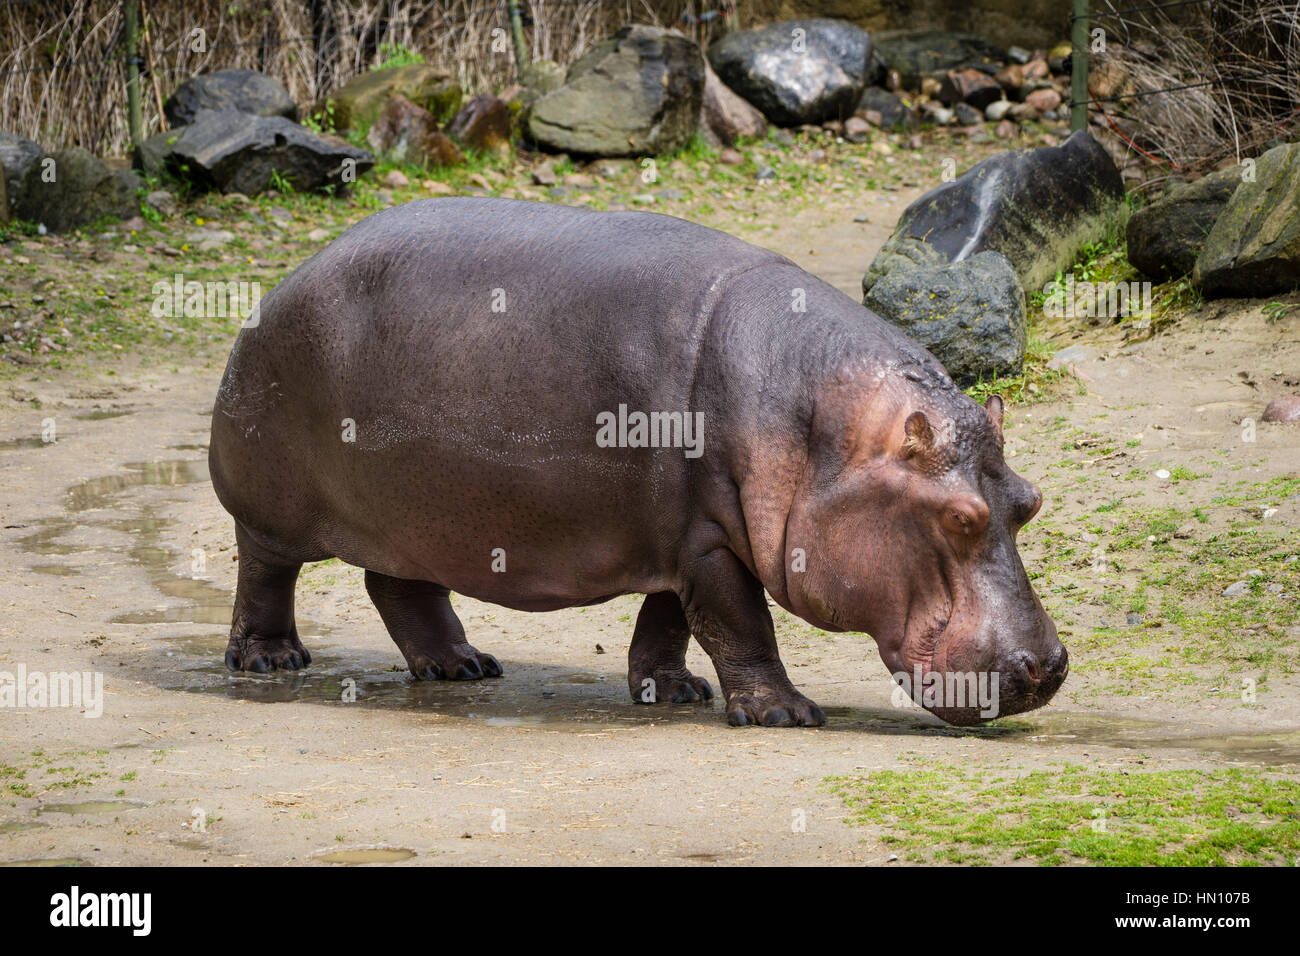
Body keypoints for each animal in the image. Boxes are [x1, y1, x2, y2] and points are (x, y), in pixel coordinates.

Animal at [210, 198, 1067, 727]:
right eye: (959, 518)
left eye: (1028, 500)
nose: (1050, 666)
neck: (824, 431)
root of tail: (286, 278)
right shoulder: (711, 541)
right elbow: (740, 621)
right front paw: (786, 714)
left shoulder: (685, 535)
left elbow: (673, 618)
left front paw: (674, 691)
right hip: (271, 504)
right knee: (264, 571)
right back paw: (272, 660)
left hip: (417, 515)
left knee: (396, 586)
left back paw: (463, 667)